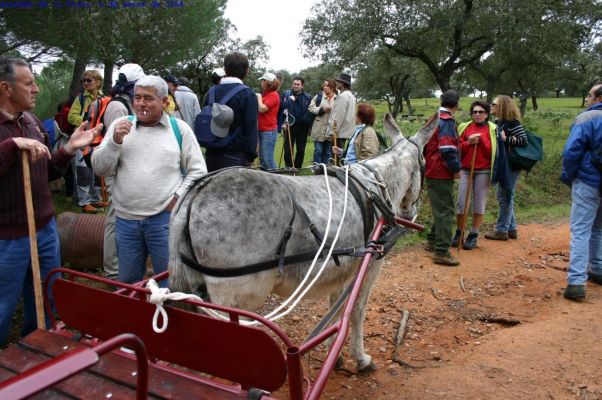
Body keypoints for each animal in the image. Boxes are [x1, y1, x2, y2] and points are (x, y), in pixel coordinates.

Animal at [166, 111, 434, 372]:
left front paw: (334, 354)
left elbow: (336, 310)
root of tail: (193, 195)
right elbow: (356, 311)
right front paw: (361, 358)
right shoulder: (370, 267)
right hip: (233, 298)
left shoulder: (344, 269)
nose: (410, 213)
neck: (375, 188)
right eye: (424, 164)